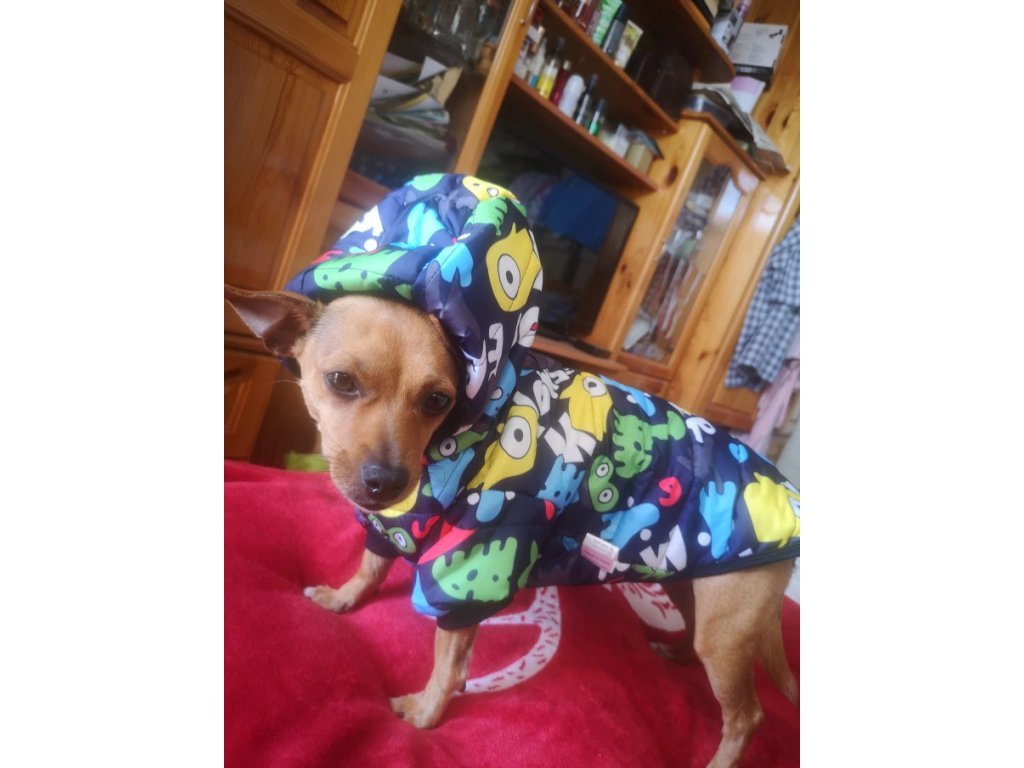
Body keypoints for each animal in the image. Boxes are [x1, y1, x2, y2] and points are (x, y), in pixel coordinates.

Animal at [225, 173, 799, 768]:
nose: (387, 482)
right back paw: (675, 652)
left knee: (746, 716)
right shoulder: (391, 526)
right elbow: (369, 566)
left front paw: (426, 716)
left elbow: (448, 662)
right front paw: (343, 600)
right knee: (694, 636)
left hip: (725, 632)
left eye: (438, 400)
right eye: (340, 382)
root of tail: (783, 495)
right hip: (691, 582)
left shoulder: (471, 567)